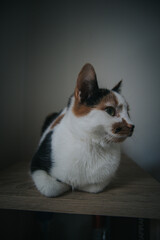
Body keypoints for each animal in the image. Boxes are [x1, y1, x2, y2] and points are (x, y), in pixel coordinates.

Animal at [30, 63, 134, 197]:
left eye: (128, 112)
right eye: (110, 110)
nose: (132, 126)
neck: (92, 145)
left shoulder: (104, 179)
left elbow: (95, 186)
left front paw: (78, 184)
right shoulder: (36, 162)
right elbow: (51, 188)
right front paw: (66, 184)